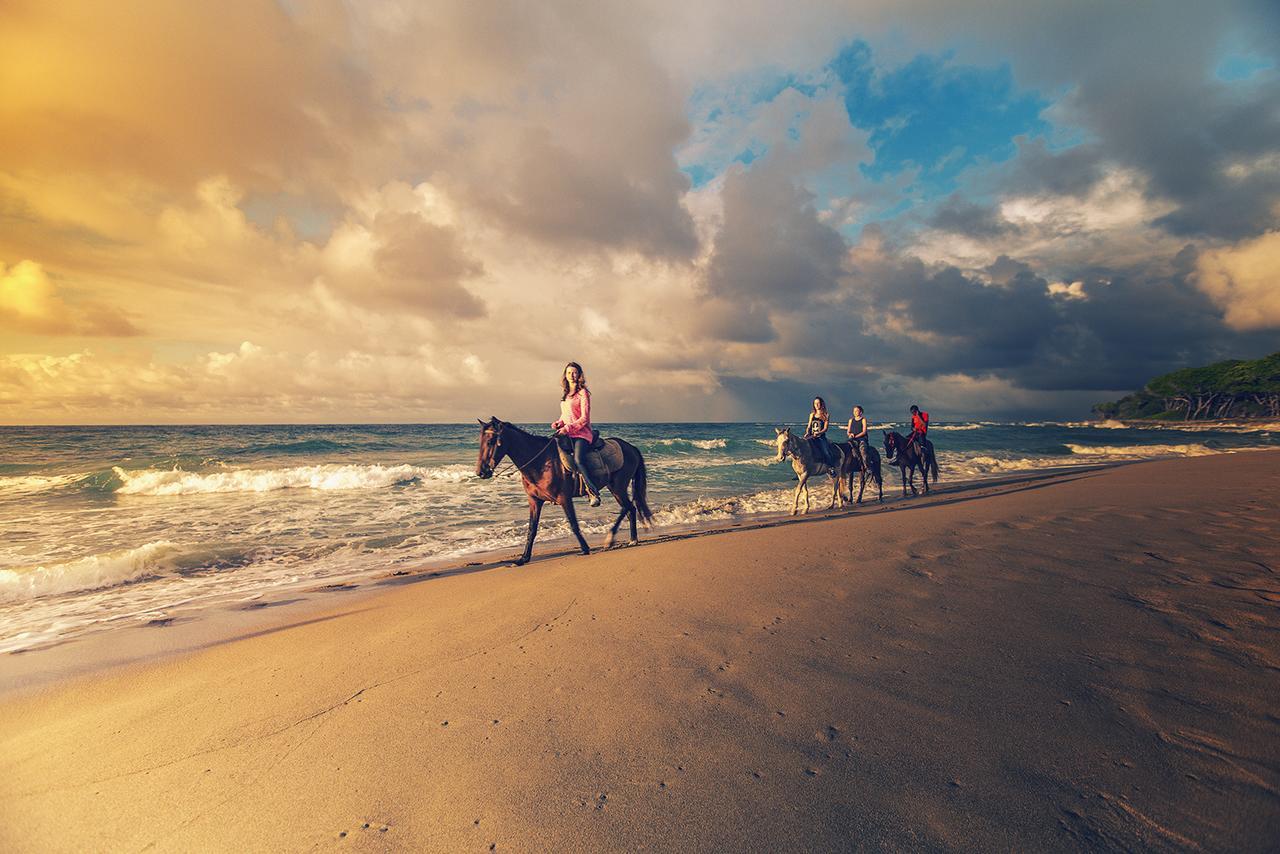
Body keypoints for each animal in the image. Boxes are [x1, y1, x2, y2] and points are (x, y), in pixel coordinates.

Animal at [473, 419, 655, 568]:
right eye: (480, 442)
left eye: (490, 441)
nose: (481, 472)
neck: (541, 463)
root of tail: (631, 447)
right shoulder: (534, 501)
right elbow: (532, 529)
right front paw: (523, 559)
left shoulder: (564, 498)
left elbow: (573, 524)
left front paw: (585, 549)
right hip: (616, 487)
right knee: (630, 509)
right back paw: (631, 539)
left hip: (618, 486)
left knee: (628, 508)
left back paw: (612, 538)